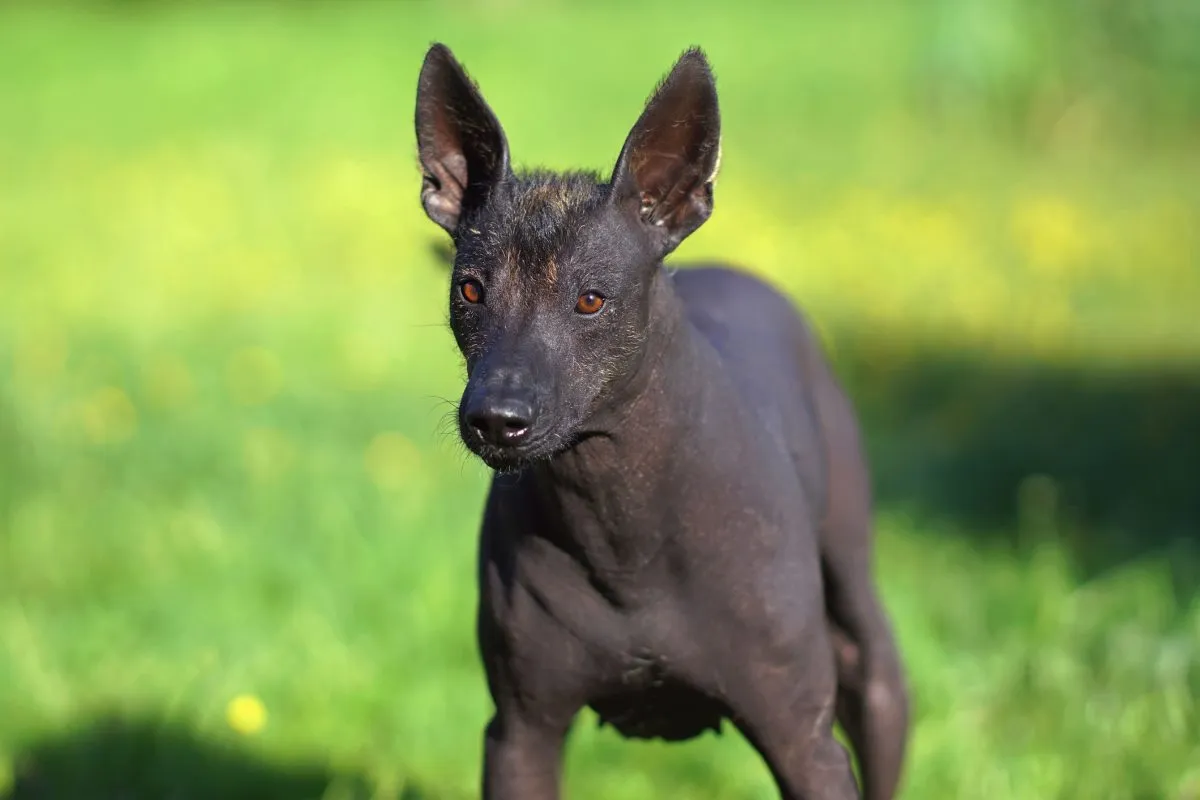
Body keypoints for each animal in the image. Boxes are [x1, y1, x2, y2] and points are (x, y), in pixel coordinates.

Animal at [412, 43, 907, 800]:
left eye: (591, 299)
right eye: (469, 290)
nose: (496, 419)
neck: (622, 526)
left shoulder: (805, 744)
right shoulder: (521, 734)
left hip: (863, 629)